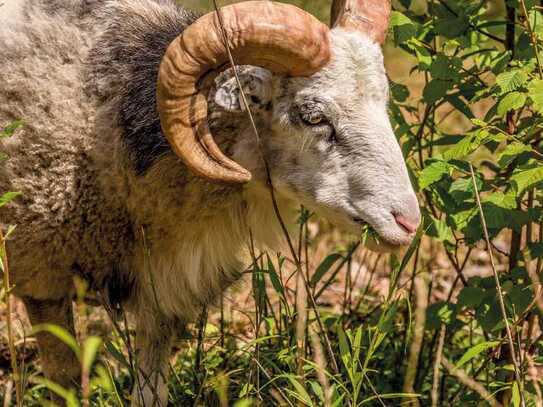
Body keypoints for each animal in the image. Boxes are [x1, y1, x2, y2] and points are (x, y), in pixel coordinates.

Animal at [0, 1, 420, 406]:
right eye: (313, 117)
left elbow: (150, 393)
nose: (408, 222)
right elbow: (65, 381)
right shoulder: (41, 277)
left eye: (384, 101)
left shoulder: (164, 291)